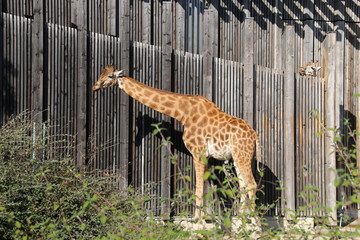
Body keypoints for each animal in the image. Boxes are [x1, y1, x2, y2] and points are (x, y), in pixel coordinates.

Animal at [93, 65, 262, 219]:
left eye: (110, 76)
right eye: (101, 73)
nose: (95, 86)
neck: (183, 113)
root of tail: (255, 136)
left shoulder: (198, 151)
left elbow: (198, 187)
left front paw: (196, 221)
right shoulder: (205, 155)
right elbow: (205, 188)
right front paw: (204, 219)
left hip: (242, 155)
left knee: (251, 184)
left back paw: (253, 223)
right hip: (237, 157)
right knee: (243, 185)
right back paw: (241, 219)